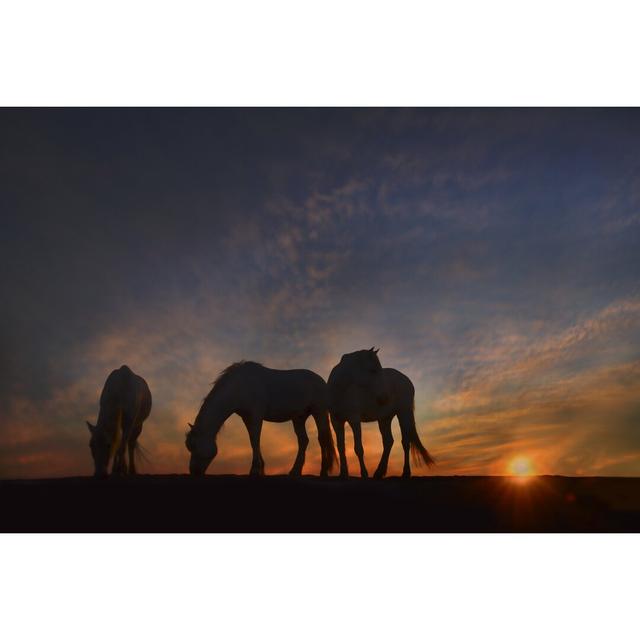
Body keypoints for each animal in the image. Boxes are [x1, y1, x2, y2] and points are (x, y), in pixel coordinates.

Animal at [185, 360, 338, 476]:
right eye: (189, 447)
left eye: (194, 446)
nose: (193, 472)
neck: (241, 386)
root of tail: (320, 380)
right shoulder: (247, 418)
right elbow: (253, 440)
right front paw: (260, 468)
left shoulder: (255, 416)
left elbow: (255, 439)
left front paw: (255, 470)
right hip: (299, 418)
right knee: (303, 441)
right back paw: (295, 471)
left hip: (319, 412)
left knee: (322, 439)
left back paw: (323, 471)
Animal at [330, 348, 436, 478]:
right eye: (373, 370)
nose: (385, 398)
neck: (340, 389)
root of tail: (406, 380)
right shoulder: (336, 421)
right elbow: (341, 447)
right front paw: (343, 473)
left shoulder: (354, 420)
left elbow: (358, 448)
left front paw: (364, 473)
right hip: (385, 419)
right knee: (388, 442)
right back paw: (379, 472)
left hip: (403, 414)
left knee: (405, 442)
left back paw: (405, 472)